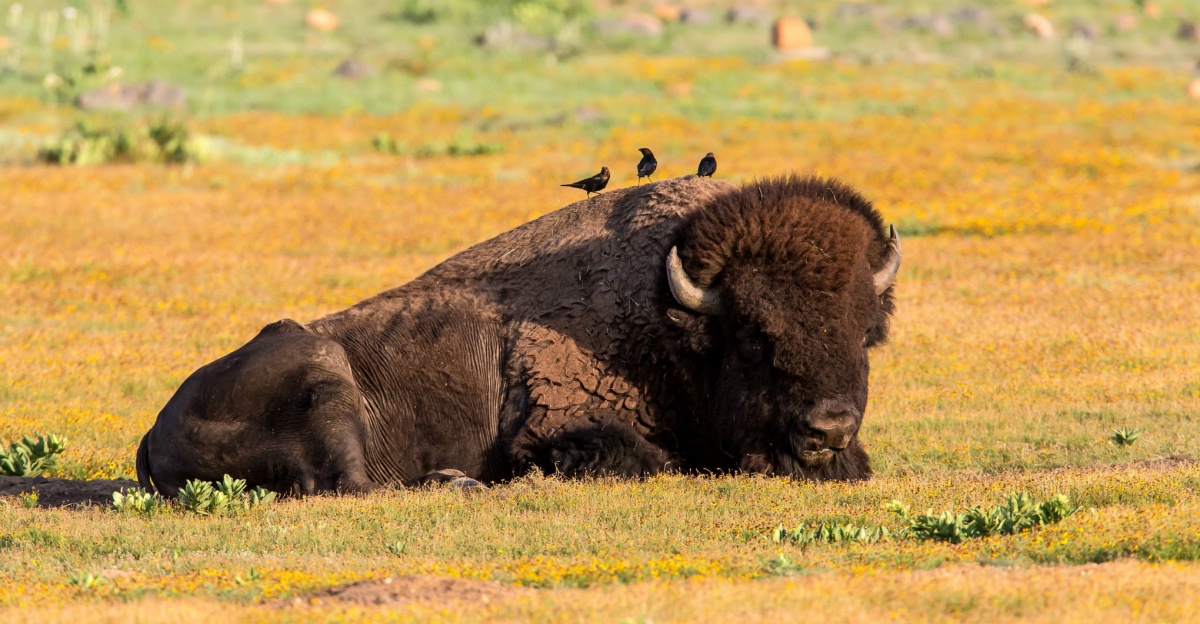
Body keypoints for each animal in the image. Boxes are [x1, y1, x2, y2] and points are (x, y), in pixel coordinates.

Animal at [133, 172, 902, 494]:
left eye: (864, 334)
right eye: (752, 336)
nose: (828, 429)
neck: (667, 319)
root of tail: (152, 431)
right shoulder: (562, 429)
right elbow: (640, 458)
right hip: (325, 372)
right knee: (349, 484)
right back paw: (453, 483)